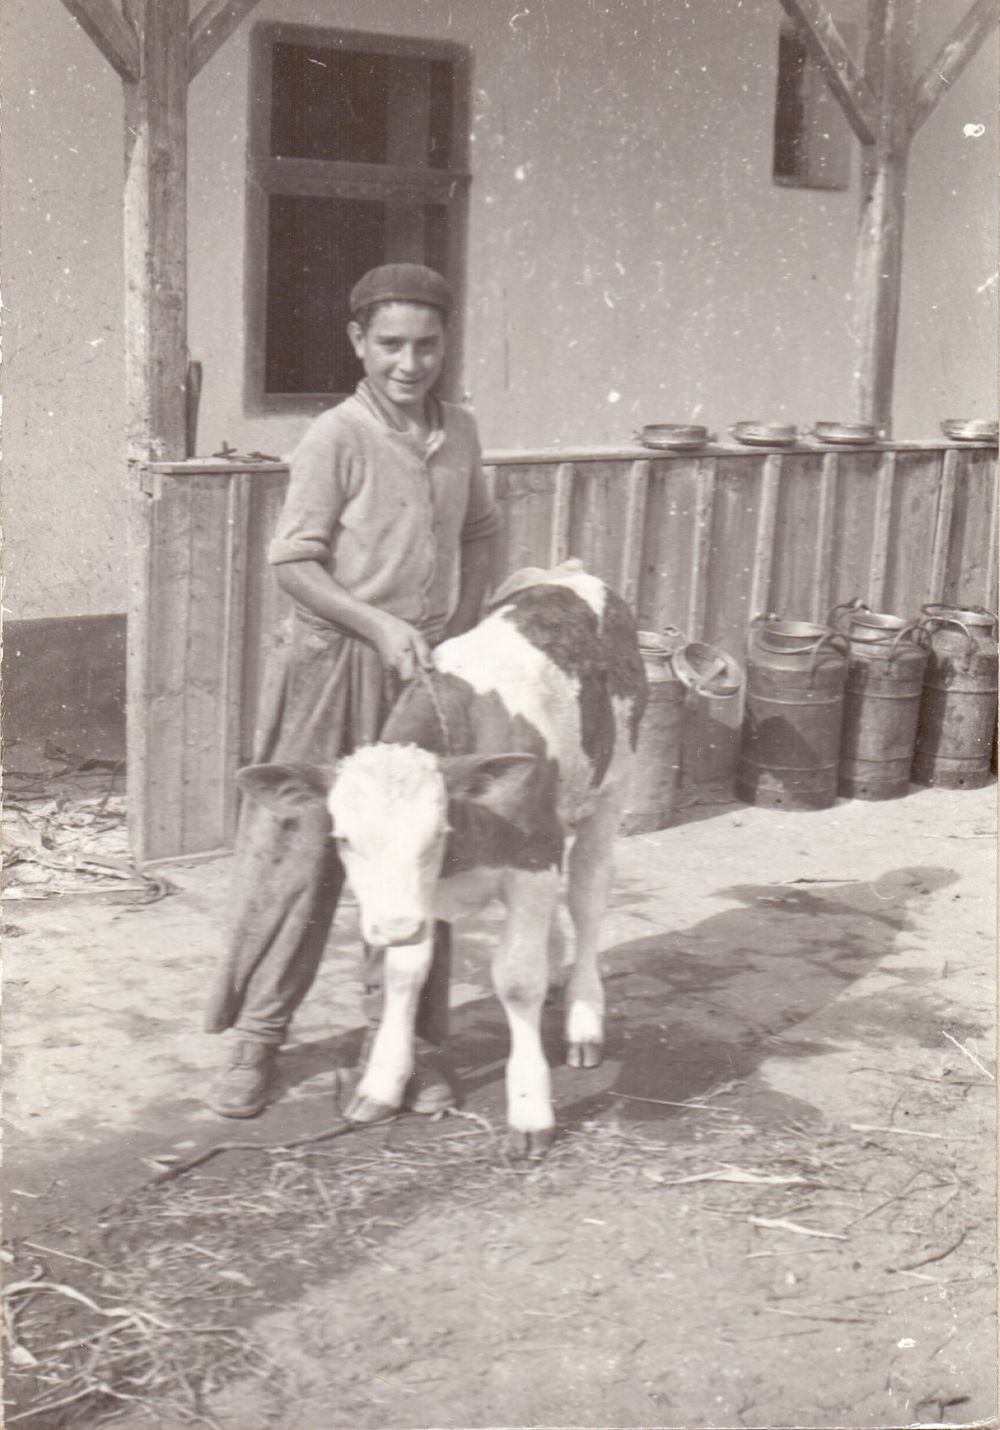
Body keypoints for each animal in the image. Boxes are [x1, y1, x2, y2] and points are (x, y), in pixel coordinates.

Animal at [240, 563, 649, 1155]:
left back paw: (583, 1018)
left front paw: (530, 1112)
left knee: (589, 899)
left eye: (436, 832)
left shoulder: (533, 856)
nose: (392, 926)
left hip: (611, 790)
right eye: (342, 838)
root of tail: (567, 573)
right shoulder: (420, 896)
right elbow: (405, 975)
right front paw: (382, 1085)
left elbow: (517, 980)